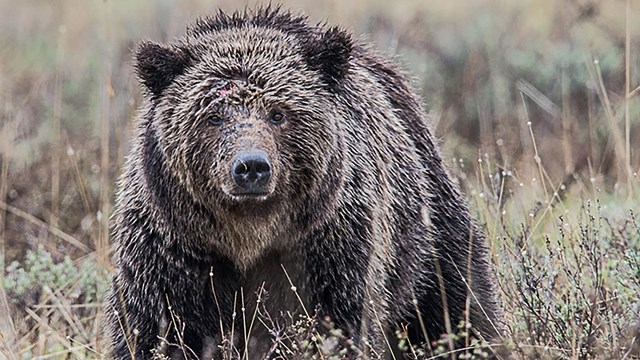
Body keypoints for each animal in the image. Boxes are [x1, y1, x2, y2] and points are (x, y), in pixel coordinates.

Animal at [105, 5, 502, 360]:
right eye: (214, 116)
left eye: (278, 114)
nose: (251, 167)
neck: (247, 236)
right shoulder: (174, 250)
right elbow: (157, 329)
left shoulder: (328, 248)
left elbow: (334, 323)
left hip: (425, 232)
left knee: (456, 301)